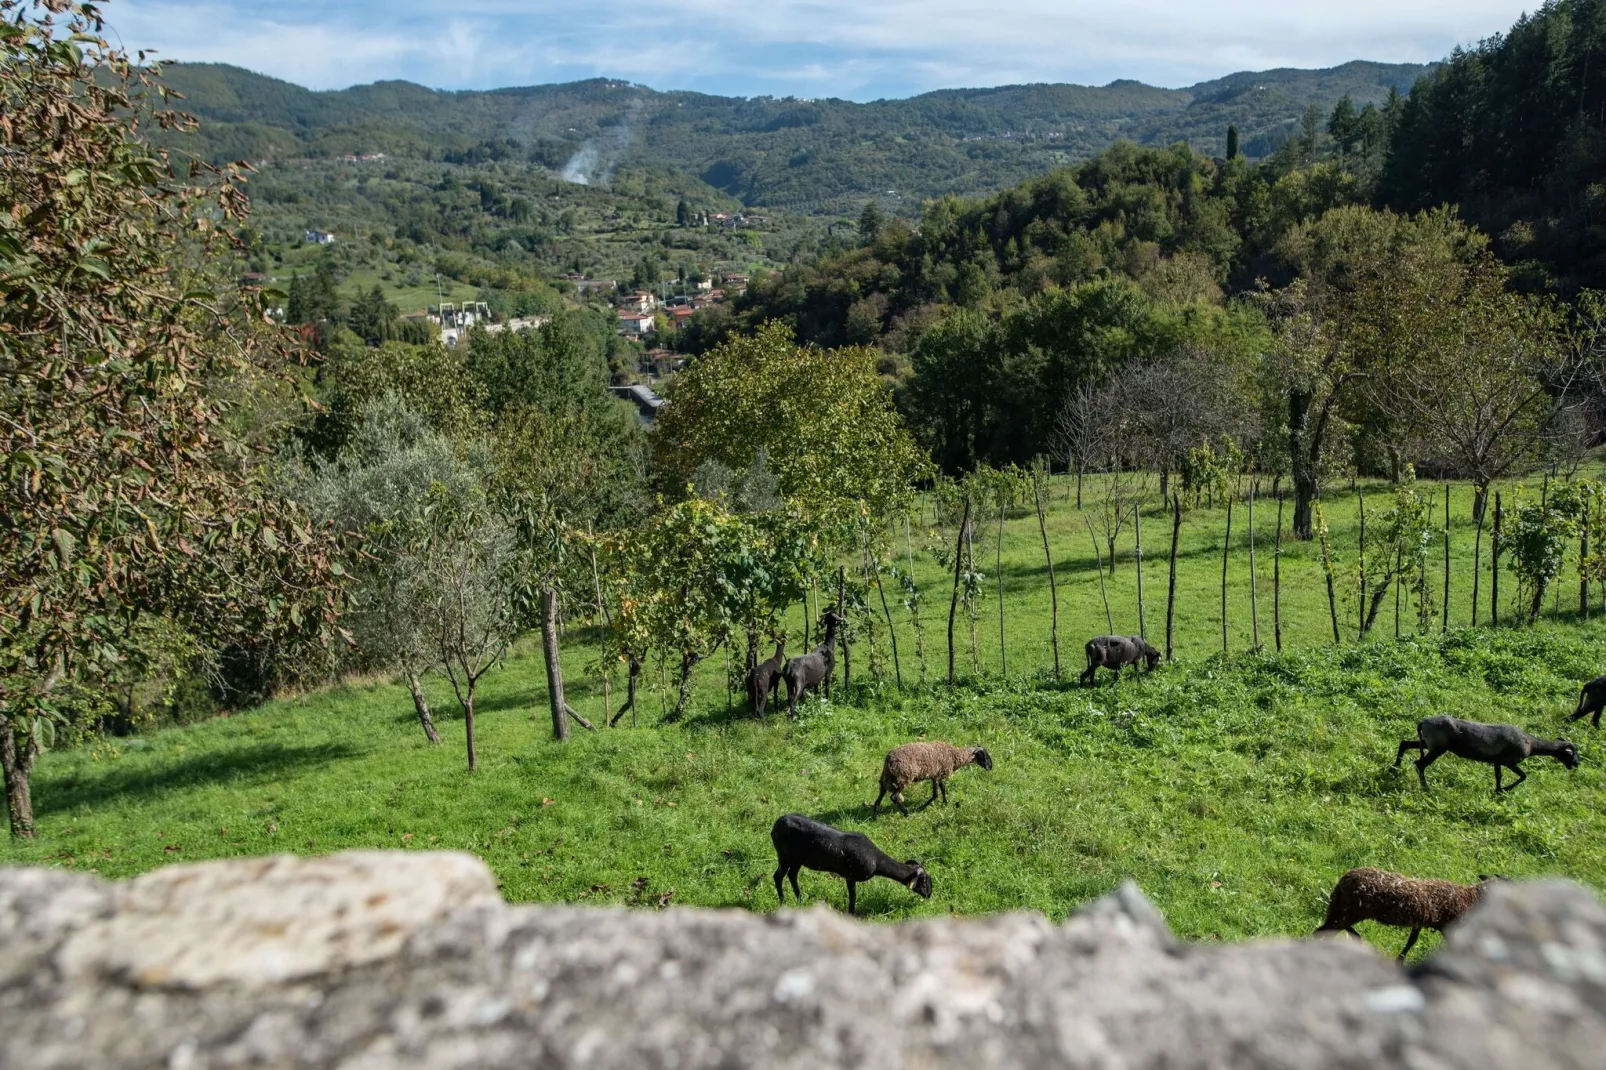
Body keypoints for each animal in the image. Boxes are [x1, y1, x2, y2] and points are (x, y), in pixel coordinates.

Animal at [770, 812, 937, 912]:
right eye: (923, 882)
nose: (929, 895)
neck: (876, 861)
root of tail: (776, 825)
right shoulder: (850, 876)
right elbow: (853, 897)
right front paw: (851, 913)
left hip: (797, 859)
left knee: (792, 875)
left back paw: (800, 899)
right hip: (784, 855)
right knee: (778, 876)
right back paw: (783, 901)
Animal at [1310, 867, 1496, 957]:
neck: (1470, 897)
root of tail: (1343, 881)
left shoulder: (1420, 922)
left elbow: (1411, 941)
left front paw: (1400, 959)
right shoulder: (1446, 926)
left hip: (1342, 909)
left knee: (1329, 929)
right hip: (1351, 911)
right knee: (1326, 930)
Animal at [1394, 713, 1580, 787]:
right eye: (1573, 754)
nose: (1577, 764)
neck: (1532, 743)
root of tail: (1423, 723)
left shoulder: (1497, 761)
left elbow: (1498, 776)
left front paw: (1498, 791)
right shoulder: (1509, 761)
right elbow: (1523, 776)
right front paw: (1503, 790)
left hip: (1428, 743)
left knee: (1404, 744)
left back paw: (1394, 768)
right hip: (1438, 748)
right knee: (1419, 764)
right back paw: (1426, 788)